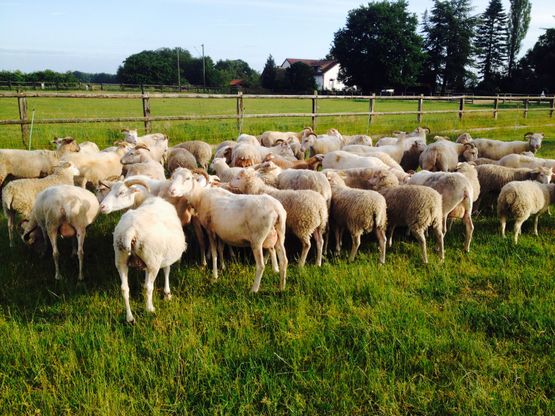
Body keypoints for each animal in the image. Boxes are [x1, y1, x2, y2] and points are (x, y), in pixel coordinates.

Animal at [107, 181, 188, 322]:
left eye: (121, 192)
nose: (102, 206)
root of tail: (130, 231)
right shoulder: (163, 257)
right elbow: (167, 270)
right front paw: (167, 294)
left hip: (120, 258)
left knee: (124, 289)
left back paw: (130, 318)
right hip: (152, 261)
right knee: (149, 287)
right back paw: (150, 309)